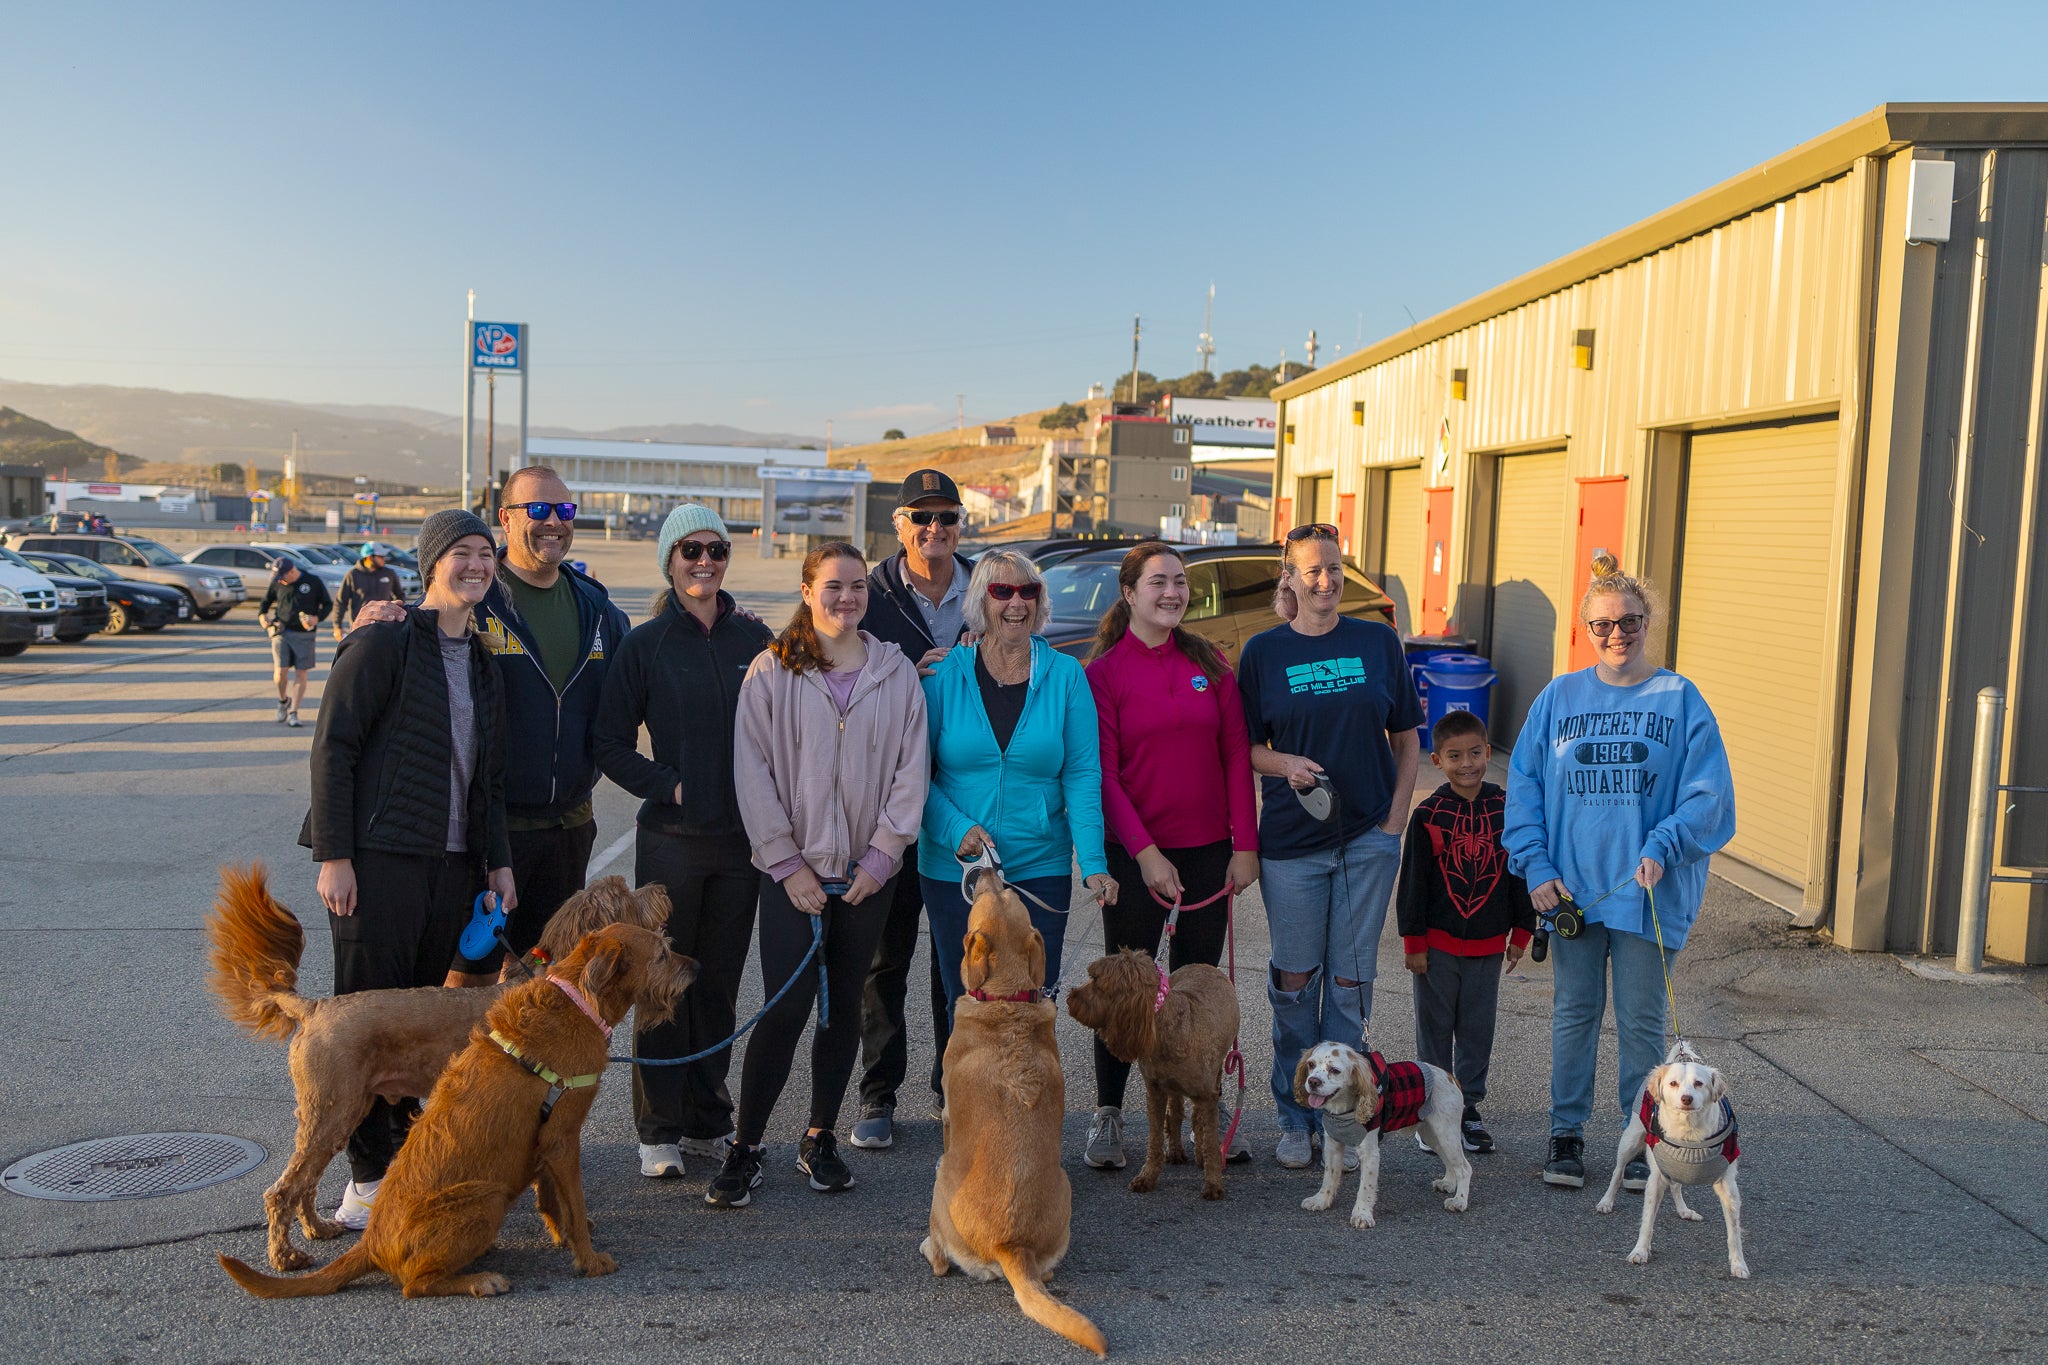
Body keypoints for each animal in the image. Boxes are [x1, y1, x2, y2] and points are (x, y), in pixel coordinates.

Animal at [199, 863, 667, 1268]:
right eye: (626, 895)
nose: (661, 889)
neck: (564, 984)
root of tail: (314, 1008)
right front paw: (575, 1227)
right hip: (330, 1111)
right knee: (281, 1190)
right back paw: (285, 1257)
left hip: (338, 1112)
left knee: (305, 1183)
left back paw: (316, 1228)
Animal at [921, 888, 1105, 1358]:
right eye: (1005, 891)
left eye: (994, 893)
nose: (987, 874)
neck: (1006, 1000)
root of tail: (1011, 1245)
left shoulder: (947, 1116)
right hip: (1063, 1190)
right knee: (1047, 1274)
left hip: (941, 1183)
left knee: (940, 1261)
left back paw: (930, 1248)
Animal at [1064, 945, 1236, 1203]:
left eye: (1096, 980)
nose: (1070, 997)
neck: (1169, 1027)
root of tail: (1200, 964)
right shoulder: (1155, 1090)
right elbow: (1155, 1139)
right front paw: (1148, 1176)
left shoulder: (1207, 1095)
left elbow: (1209, 1138)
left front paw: (1213, 1180)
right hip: (1174, 1087)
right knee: (1175, 1114)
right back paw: (1175, 1151)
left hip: (1214, 1074)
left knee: (1196, 1118)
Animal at [1294, 1039, 1474, 1236]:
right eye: (1311, 1065)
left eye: (1334, 1070)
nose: (1313, 1081)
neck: (1342, 1110)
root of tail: (1450, 1077)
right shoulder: (1333, 1144)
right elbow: (1329, 1177)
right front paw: (1321, 1201)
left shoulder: (1370, 1153)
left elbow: (1365, 1188)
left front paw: (1362, 1215)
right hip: (1432, 1135)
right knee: (1450, 1162)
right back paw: (1448, 1183)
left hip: (1446, 1133)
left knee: (1464, 1168)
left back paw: (1459, 1201)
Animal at [1589, 1047, 1753, 1285]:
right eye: (1673, 1083)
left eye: (1699, 1083)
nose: (1686, 1098)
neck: (1689, 1135)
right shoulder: (1655, 1181)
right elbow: (1647, 1221)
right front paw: (1640, 1251)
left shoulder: (1728, 1187)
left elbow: (1734, 1233)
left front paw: (1738, 1264)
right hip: (1630, 1140)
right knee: (1617, 1172)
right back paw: (1606, 1202)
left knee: (1676, 1186)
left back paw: (1684, 1211)